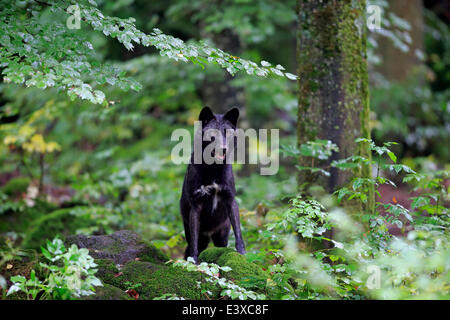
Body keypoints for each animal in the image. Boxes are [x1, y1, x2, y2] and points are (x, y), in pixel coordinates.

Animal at [178, 107, 244, 262]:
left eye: (227, 133)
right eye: (213, 134)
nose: (224, 148)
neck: (214, 169)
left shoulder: (230, 200)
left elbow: (239, 234)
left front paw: (242, 255)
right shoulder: (196, 205)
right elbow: (194, 245)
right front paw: (194, 262)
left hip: (222, 234)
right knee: (191, 246)